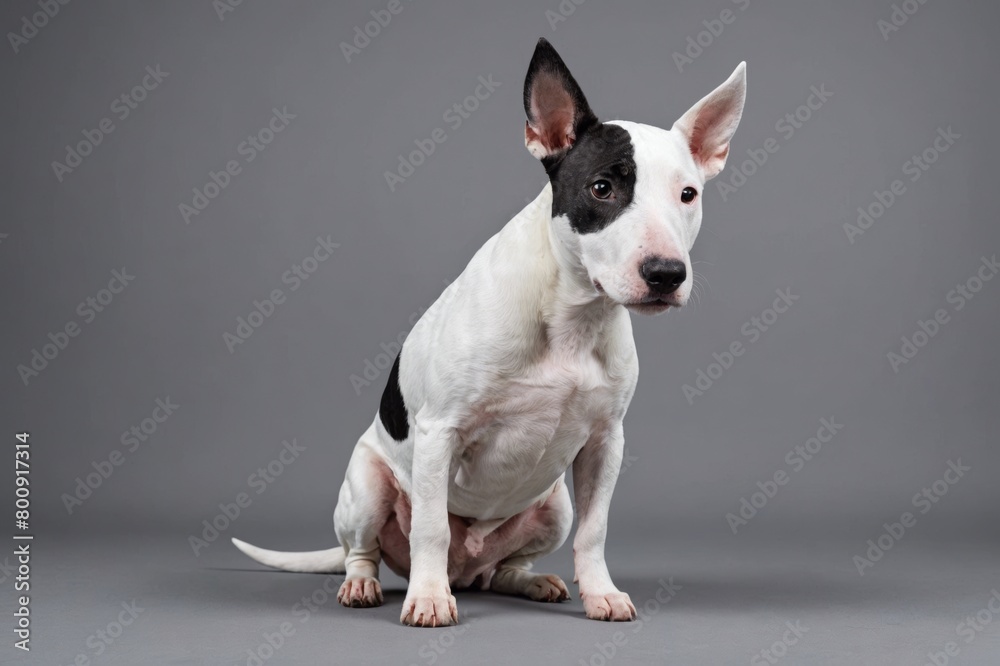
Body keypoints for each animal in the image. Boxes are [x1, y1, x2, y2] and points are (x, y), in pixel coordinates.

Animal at [234, 39, 748, 624]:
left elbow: (595, 531)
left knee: (505, 566)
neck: (572, 316)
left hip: (554, 504)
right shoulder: (440, 432)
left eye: (688, 194)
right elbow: (431, 528)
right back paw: (369, 584)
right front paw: (428, 599)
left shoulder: (605, 443)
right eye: (602, 188)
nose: (666, 274)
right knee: (364, 549)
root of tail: (467, 568)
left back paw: (529, 581)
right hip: (368, 486)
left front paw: (601, 593)